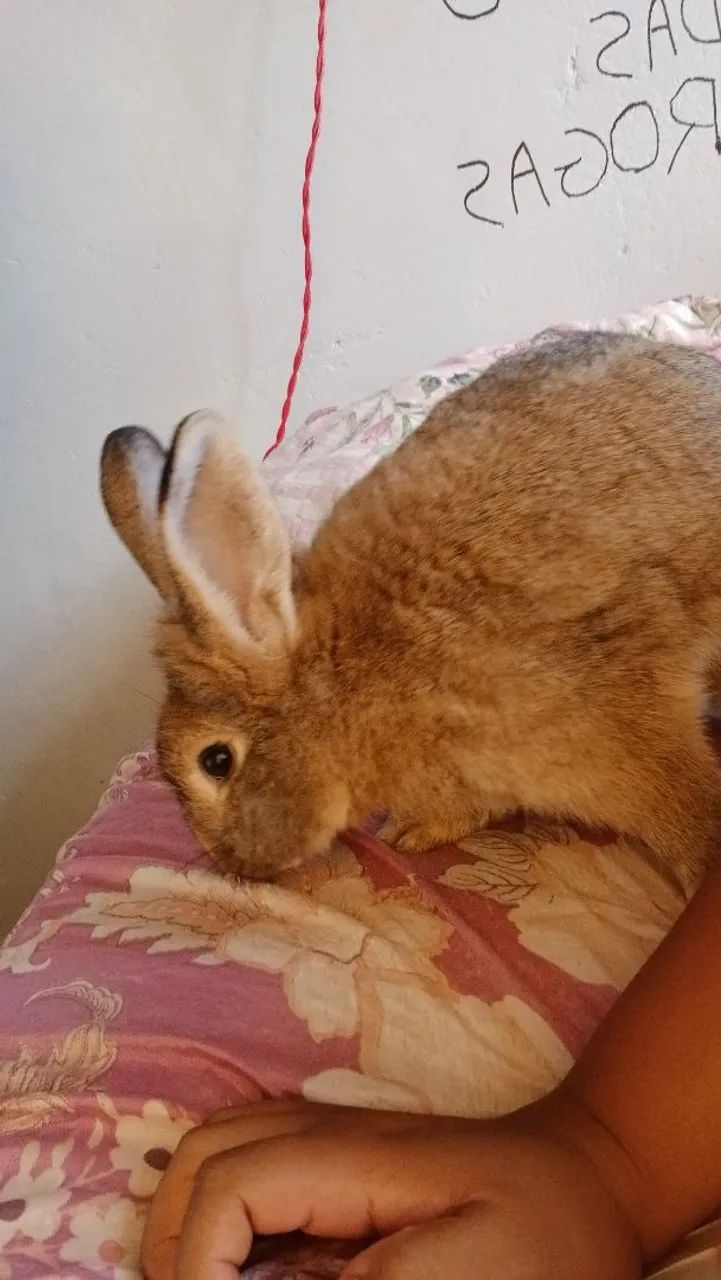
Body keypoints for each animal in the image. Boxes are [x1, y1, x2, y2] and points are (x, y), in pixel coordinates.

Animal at [100, 331, 721, 893]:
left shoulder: (617, 727)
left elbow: (689, 816)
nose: (235, 864)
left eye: (216, 761)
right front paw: (412, 834)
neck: (349, 688)